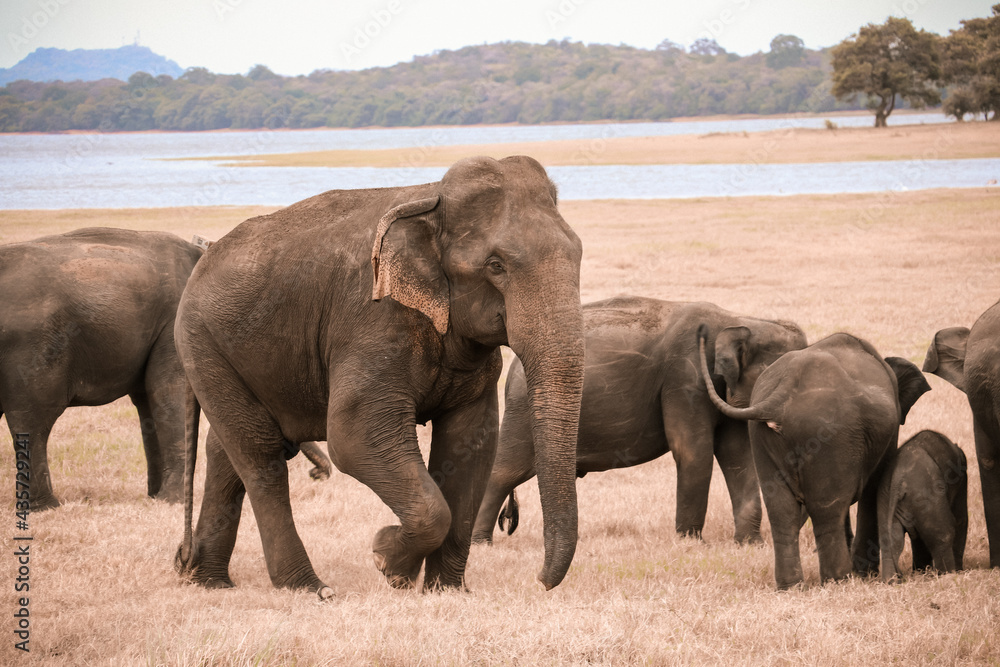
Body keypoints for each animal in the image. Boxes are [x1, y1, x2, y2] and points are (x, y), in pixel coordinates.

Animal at [0, 227, 202, 509]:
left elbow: (148, 401)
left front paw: (155, 498)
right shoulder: (175, 324)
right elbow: (168, 392)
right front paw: (172, 502)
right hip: (29, 350)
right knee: (32, 419)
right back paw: (47, 507)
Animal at [173, 156, 586, 598]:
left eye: (578, 254)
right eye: (496, 265)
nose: (539, 581)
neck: (432, 200)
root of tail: (202, 258)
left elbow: (471, 443)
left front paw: (445, 591)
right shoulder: (373, 321)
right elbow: (354, 438)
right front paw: (388, 561)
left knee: (225, 450)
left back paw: (210, 582)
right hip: (202, 343)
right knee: (260, 455)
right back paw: (310, 589)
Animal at [473, 296, 807, 545]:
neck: (742, 319)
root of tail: (514, 368)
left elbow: (738, 456)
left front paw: (750, 544)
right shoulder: (685, 377)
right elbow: (692, 451)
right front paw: (690, 543)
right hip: (523, 411)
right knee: (505, 471)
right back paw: (480, 543)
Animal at [699, 329, 931, 589]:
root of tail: (783, 392)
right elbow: (874, 488)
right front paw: (864, 574)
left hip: (760, 435)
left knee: (781, 509)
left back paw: (791, 587)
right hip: (829, 435)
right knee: (827, 508)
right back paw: (838, 581)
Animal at [877, 430, 967, 581]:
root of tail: (898, 479)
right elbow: (960, 519)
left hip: (885, 496)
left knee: (889, 542)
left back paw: (891, 582)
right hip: (925, 494)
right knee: (945, 534)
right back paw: (948, 575)